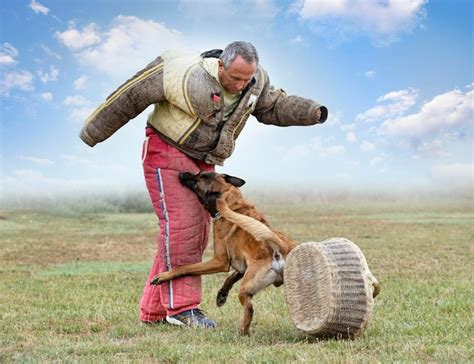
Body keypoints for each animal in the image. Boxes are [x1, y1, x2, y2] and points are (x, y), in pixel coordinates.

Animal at [150, 172, 294, 334]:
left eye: (198, 180)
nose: (182, 173)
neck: (232, 203)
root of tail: (280, 246)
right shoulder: (242, 267)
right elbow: (230, 278)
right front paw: (222, 295)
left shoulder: (219, 261)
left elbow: (185, 267)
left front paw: (163, 276)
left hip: (245, 288)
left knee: (249, 308)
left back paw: (243, 332)